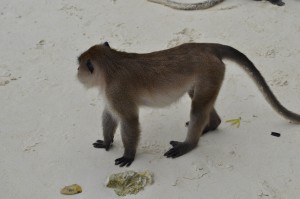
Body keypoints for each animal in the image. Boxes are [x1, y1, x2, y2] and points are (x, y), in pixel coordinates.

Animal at [77, 41, 298, 166]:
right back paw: (211, 125)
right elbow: (110, 114)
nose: (77, 73)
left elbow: (129, 120)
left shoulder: (116, 90)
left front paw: (129, 155)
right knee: (198, 99)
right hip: (210, 74)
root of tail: (206, 47)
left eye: (79, 65)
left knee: (198, 107)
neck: (112, 63)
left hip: (210, 72)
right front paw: (107, 142)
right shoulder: (111, 92)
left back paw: (190, 143)